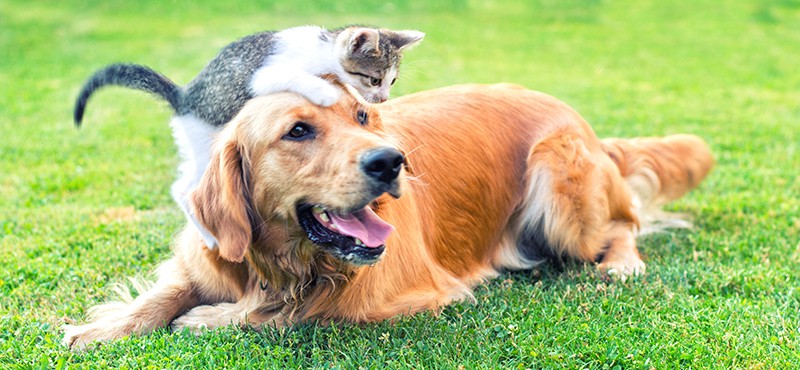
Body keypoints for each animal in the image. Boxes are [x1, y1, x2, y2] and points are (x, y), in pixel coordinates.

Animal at [62, 81, 712, 350]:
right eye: (297, 131)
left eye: (362, 117)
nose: (390, 161)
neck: (286, 263)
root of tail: (580, 120)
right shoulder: (208, 254)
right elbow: (164, 293)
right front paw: (100, 328)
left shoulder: (405, 293)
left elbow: (298, 313)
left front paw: (208, 320)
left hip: (561, 188)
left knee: (624, 223)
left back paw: (622, 264)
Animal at [73, 26, 424, 249]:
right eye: (375, 79)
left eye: (391, 81)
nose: (383, 98)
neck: (322, 50)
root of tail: (184, 96)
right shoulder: (265, 74)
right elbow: (296, 78)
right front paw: (322, 91)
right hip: (207, 141)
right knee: (187, 190)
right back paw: (210, 236)